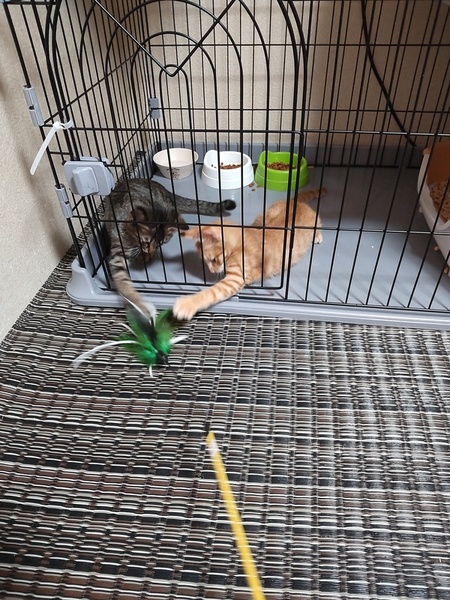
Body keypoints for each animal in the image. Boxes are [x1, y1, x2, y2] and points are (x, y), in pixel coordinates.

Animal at [103, 178, 236, 315]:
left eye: (160, 244)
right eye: (145, 242)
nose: (151, 250)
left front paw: (146, 255)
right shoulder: (118, 246)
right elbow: (121, 279)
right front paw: (134, 298)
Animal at [173, 187, 325, 320]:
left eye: (214, 260)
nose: (212, 271)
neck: (240, 241)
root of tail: (295, 202)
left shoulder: (235, 279)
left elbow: (212, 292)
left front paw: (187, 304)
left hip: (315, 221)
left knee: (319, 227)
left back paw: (317, 236)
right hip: (265, 214)